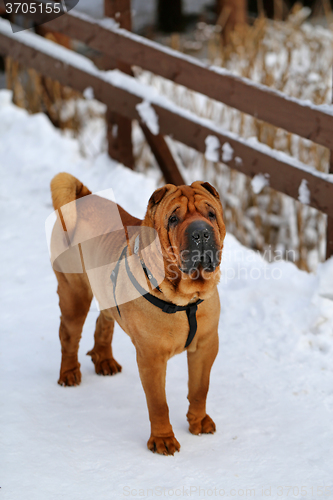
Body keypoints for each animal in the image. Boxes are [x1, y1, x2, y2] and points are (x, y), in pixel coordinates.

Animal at [48, 174, 226, 456]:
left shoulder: (206, 346)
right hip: (73, 293)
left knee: (104, 321)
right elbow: (158, 403)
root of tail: (81, 196)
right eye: (173, 219)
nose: (201, 232)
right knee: (69, 335)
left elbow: (200, 388)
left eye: (211, 213)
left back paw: (104, 360)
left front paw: (198, 422)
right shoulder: (151, 358)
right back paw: (69, 374)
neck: (184, 300)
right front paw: (163, 440)